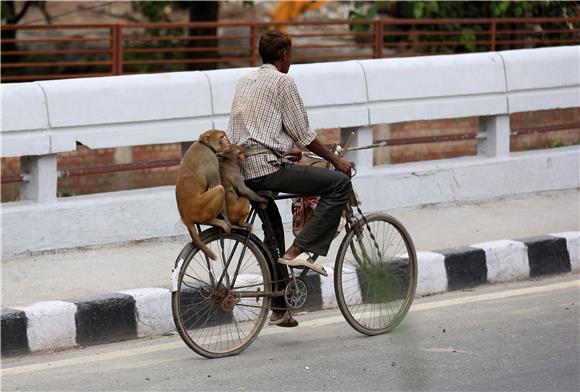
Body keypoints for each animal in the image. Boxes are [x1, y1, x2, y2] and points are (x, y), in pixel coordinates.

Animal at [176, 129, 232, 260]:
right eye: (221, 137)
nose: (227, 141)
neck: (205, 145)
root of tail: (186, 218)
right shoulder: (211, 160)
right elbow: (216, 184)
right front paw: (227, 219)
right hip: (201, 209)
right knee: (219, 189)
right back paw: (212, 220)